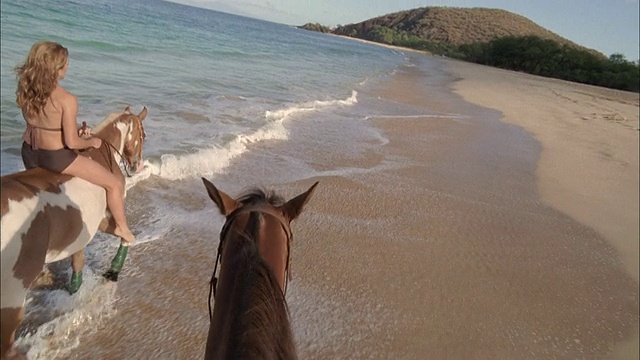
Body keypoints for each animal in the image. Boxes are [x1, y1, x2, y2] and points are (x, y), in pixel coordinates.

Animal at [0, 105, 148, 358]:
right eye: (143, 135)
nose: (136, 165)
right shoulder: (105, 218)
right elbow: (125, 235)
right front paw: (114, 269)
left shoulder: (80, 232)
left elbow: (77, 262)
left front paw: (75, 290)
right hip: (10, 297)